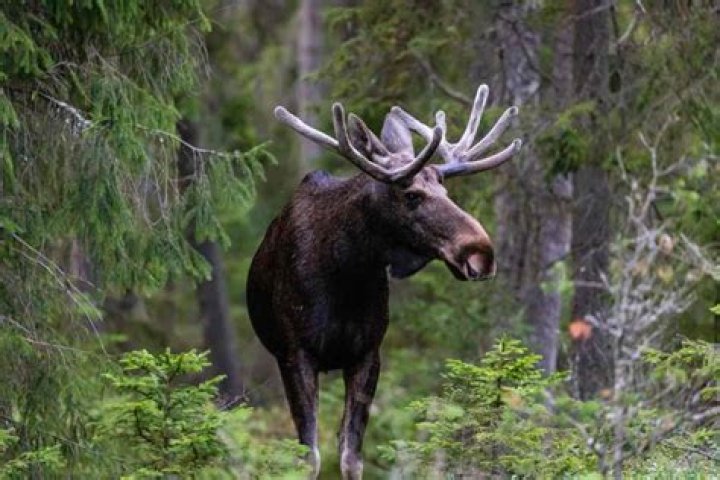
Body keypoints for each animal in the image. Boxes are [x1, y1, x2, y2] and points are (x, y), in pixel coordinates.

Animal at [246, 84, 521, 479]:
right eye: (412, 195)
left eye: (446, 192)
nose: (480, 252)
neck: (345, 275)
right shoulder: (295, 354)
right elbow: (309, 456)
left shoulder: (367, 354)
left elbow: (350, 455)